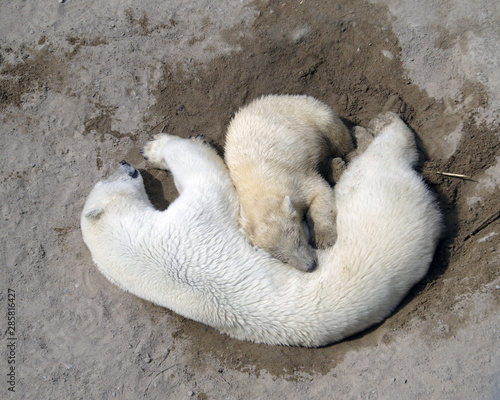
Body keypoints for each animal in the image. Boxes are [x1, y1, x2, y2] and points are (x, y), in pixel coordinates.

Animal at [225, 95, 354, 274]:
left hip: (310, 113)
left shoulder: (294, 180)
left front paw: (323, 238)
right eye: (281, 258)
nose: (310, 266)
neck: (260, 188)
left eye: (298, 239)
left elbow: (319, 192)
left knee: (336, 134)